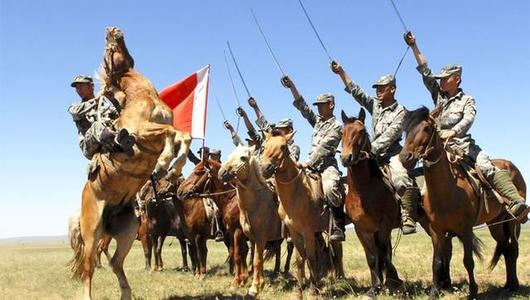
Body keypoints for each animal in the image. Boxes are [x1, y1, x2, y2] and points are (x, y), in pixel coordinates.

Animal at [69, 27, 190, 300]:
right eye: (108, 47)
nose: (113, 30)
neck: (142, 96)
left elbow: (182, 136)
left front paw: (172, 166)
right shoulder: (143, 132)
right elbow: (170, 133)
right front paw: (164, 162)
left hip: (127, 230)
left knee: (115, 262)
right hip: (92, 234)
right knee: (88, 268)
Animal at [340, 109, 402, 296]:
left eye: (361, 131)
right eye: (342, 132)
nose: (346, 158)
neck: (363, 192)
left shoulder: (384, 224)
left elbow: (381, 254)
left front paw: (389, 283)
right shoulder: (361, 228)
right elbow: (372, 257)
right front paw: (374, 288)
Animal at [398, 106, 520, 298]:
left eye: (427, 128)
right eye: (405, 130)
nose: (405, 157)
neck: (446, 191)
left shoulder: (466, 229)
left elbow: (468, 261)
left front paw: (473, 292)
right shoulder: (437, 230)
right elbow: (437, 261)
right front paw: (434, 291)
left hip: (513, 222)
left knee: (513, 248)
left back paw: (514, 285)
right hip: (496, 223)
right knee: (505, 248)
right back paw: (508, 284)